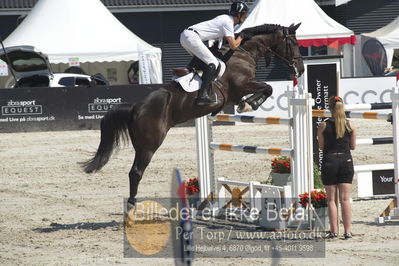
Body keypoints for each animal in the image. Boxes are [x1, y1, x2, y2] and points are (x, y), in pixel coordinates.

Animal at [82, 22, 306, 208]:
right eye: (293, 43)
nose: (301, 69)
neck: (243, 54)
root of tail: (136, 107)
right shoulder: (240, 87)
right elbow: (267, 88)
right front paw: (249, 105)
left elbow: (267, 89)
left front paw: (247, 104)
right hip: (149, 145)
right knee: (136, 172)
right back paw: (131, 205)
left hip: (142, 144)